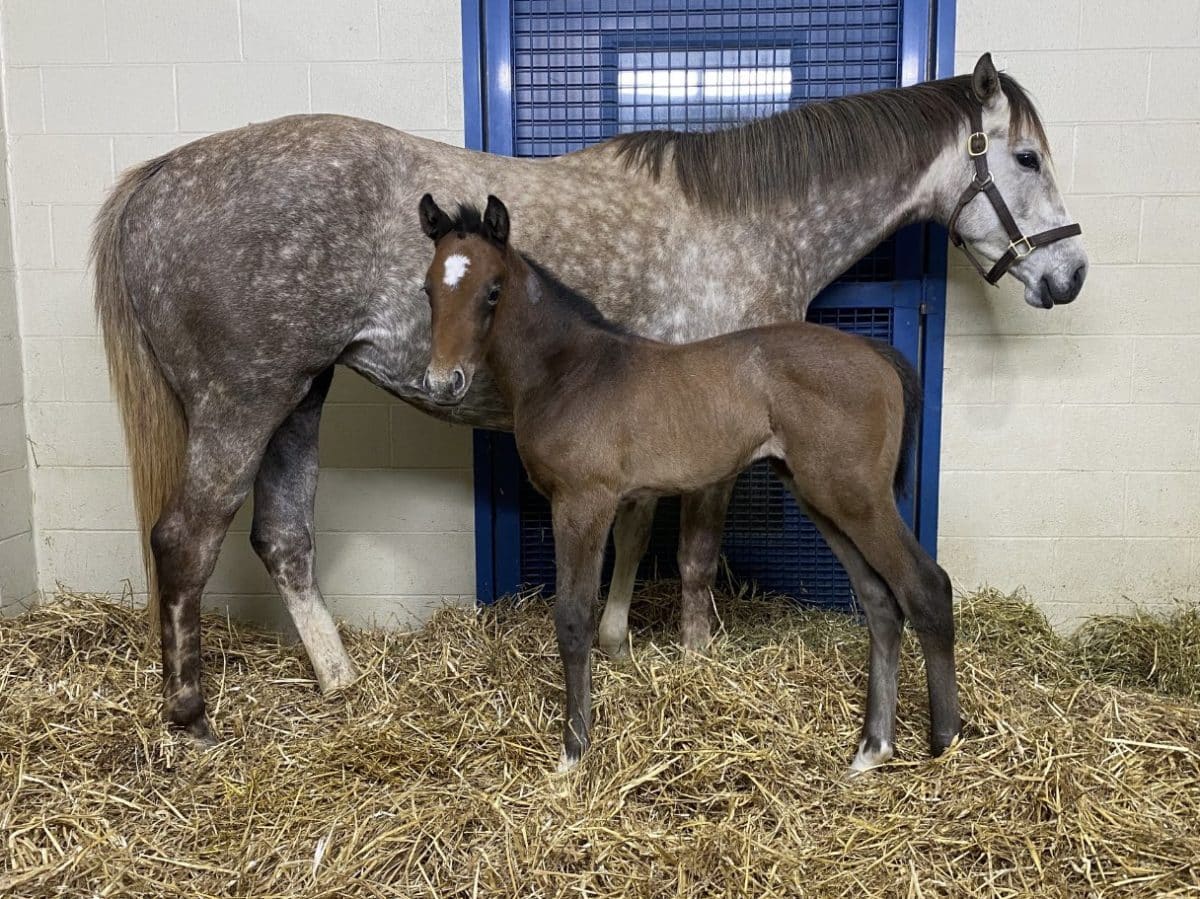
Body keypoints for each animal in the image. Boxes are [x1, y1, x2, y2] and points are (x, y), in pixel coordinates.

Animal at [417, 196, 960, 772]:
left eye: (493, 290)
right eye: (428, 289)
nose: (443, 383)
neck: (569, 372)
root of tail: (877, 355)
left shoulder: (583, 503)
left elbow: (573, 618)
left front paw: (573, 751)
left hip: (858, 498)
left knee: (926, 587)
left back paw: (946, 740)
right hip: (822, 497)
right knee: (880, 602)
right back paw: (872, 748)